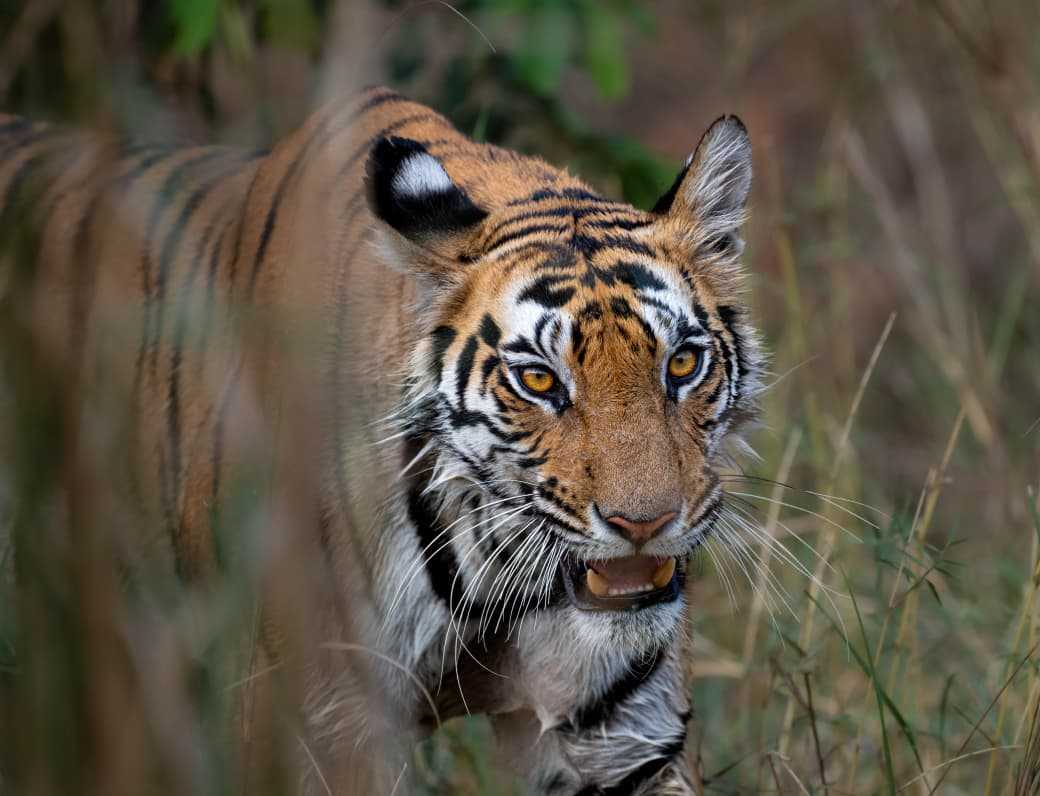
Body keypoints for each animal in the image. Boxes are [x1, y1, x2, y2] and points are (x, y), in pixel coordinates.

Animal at [0, 87, 762, 794]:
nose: (645, 525)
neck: (481, 561)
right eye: (540, 380)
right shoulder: (317, 729)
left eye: (682, 364)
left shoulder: (623, 735)